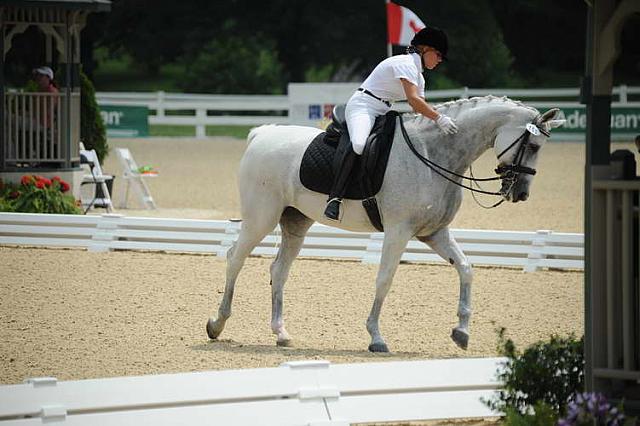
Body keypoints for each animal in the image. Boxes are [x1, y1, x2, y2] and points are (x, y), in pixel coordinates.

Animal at [208, 96, 564, 352]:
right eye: (533, 146)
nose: (520, 193)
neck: (434, 154)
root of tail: (262, 133)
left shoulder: (434, 233)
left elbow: (465, 268)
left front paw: (461, 332)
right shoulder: (398, 231)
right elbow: (385, 280)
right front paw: (376, 337)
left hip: (296, 222)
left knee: (279, 271)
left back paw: (281, 333)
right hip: (261, 218)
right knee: (235, 258)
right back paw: (217, 323)